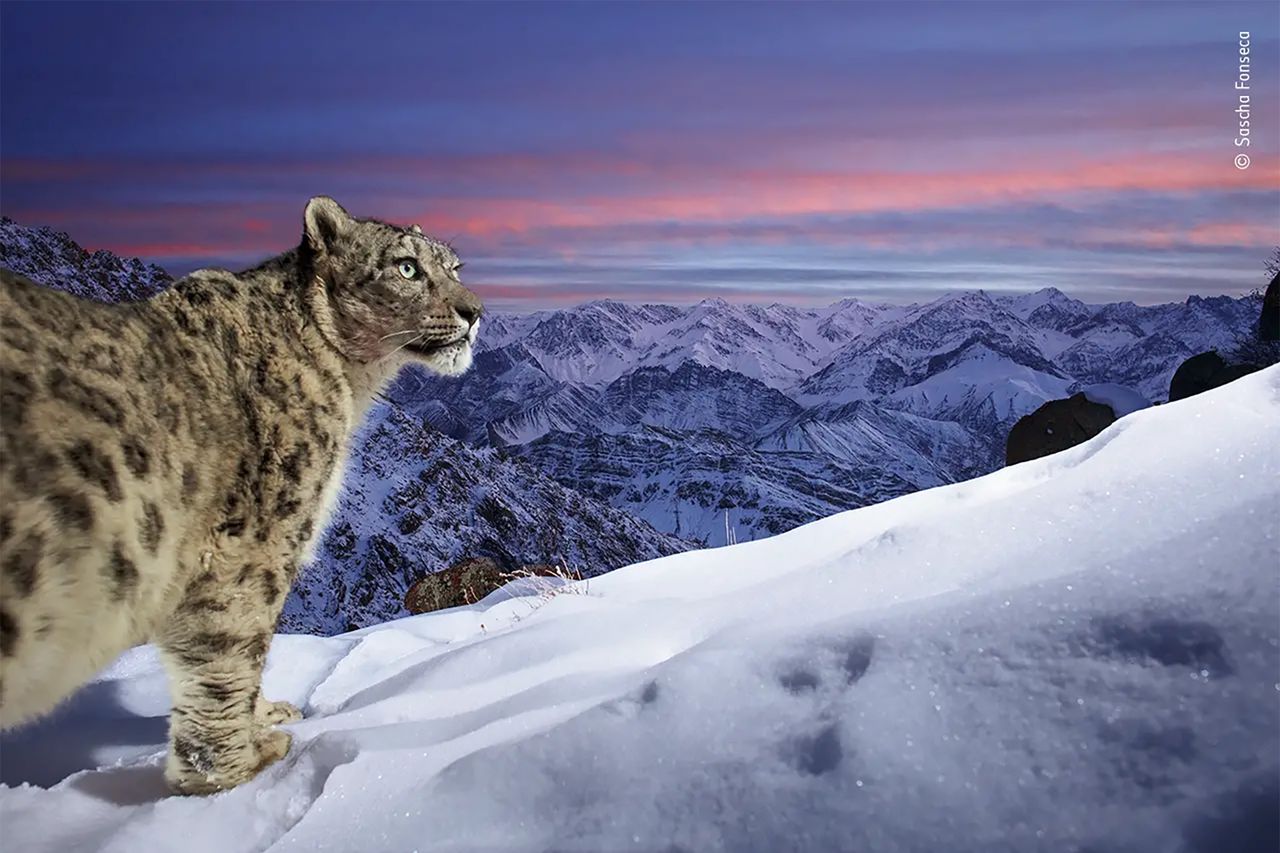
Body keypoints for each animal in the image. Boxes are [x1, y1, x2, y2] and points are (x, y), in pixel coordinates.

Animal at [1, 197, 481, 788]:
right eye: (407, 267)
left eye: (454, 267)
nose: (474, 311)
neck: (352, 385)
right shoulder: (256, 543)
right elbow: (232, 650)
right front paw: (236, 769)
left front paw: (265, 716)